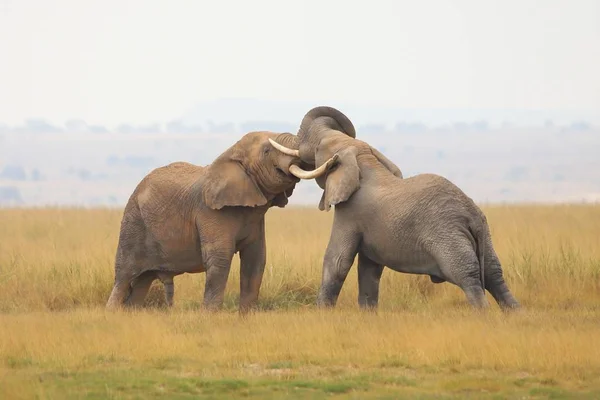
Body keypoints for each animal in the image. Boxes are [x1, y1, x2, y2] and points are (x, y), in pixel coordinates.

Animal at [104, 131, 338, 312]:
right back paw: (113, 315)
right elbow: (220, 257)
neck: (231, 154)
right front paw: (209, 317)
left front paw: (246, 317)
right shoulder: (210, 211)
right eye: (266, 151)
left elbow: (256, 259)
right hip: (133, 222)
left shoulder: (254, 217)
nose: (334, 158)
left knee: (141, 283)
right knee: (123, 278)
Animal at [272, 107, 520, 312]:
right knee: (494, 274)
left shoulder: (350, 212)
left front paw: (323, 313)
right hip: (484, 235)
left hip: (448, 238)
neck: (364, 160)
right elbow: (369, 269)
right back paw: (515, 314)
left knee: (468, 276)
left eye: (318, 148)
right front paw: (368, 315)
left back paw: (483, 315)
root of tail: (471, 216)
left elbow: (337, 261)